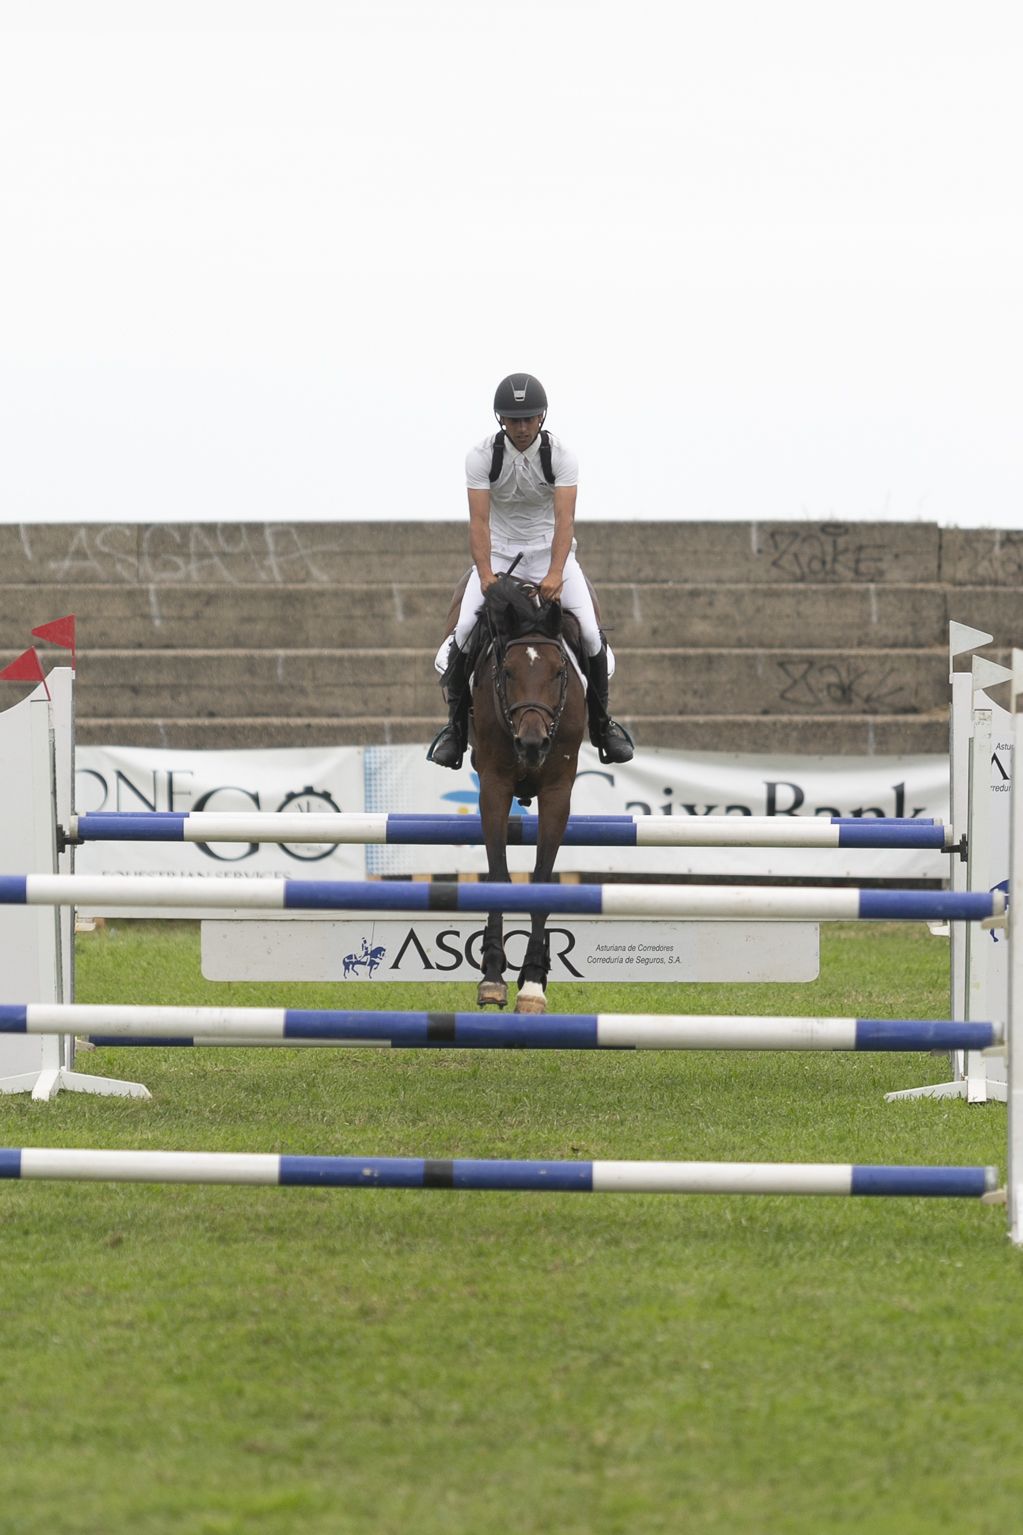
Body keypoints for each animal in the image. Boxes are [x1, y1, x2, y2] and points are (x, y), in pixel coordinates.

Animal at [460, 571, 586, 1013]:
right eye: (508, 672)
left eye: (558, 671)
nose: (532, 745)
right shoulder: (494, 785)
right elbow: (498, 874)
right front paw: (492, 977)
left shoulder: (557, 791)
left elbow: (543, 880)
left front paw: (533, 983)